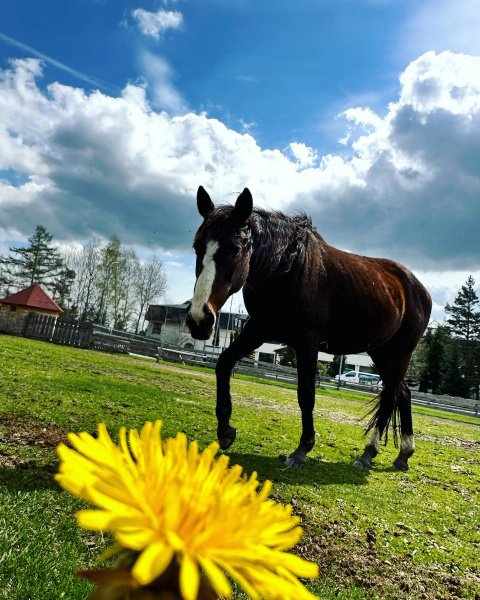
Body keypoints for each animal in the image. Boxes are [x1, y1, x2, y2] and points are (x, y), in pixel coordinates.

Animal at [186, 185, 434, 472]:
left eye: (236, 248)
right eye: (197, 246)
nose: (199, 318)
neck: (288, 268)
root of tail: (418, 289)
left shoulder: (308, 342)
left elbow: (306, 394)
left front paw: (302, 449)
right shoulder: (258, 329)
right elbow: (224, 364)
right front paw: (225, 430)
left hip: (401, 352)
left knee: (391, 394)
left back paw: (368, 452)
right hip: (381, 352)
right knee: (403, 393)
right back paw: (403, 454)